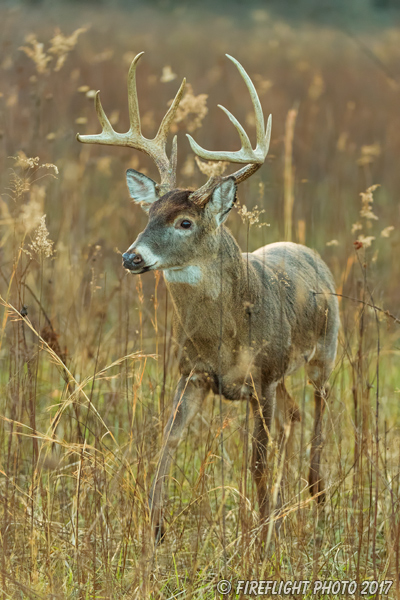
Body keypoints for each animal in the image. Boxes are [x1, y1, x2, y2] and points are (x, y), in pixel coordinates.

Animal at [79, 54, 340, 544]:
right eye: (149, 213)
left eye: (184, 222)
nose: (131, 256)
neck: (224, 338)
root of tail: (311, 253)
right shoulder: (192, 372)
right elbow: (167, 442)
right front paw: (155, 529)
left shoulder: (262, 377)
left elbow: (257, 463)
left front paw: (260, 540)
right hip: (284, 377)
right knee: (293, 416)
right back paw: (287, 506)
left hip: (325, 351)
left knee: (318, 410)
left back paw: (315, 495)